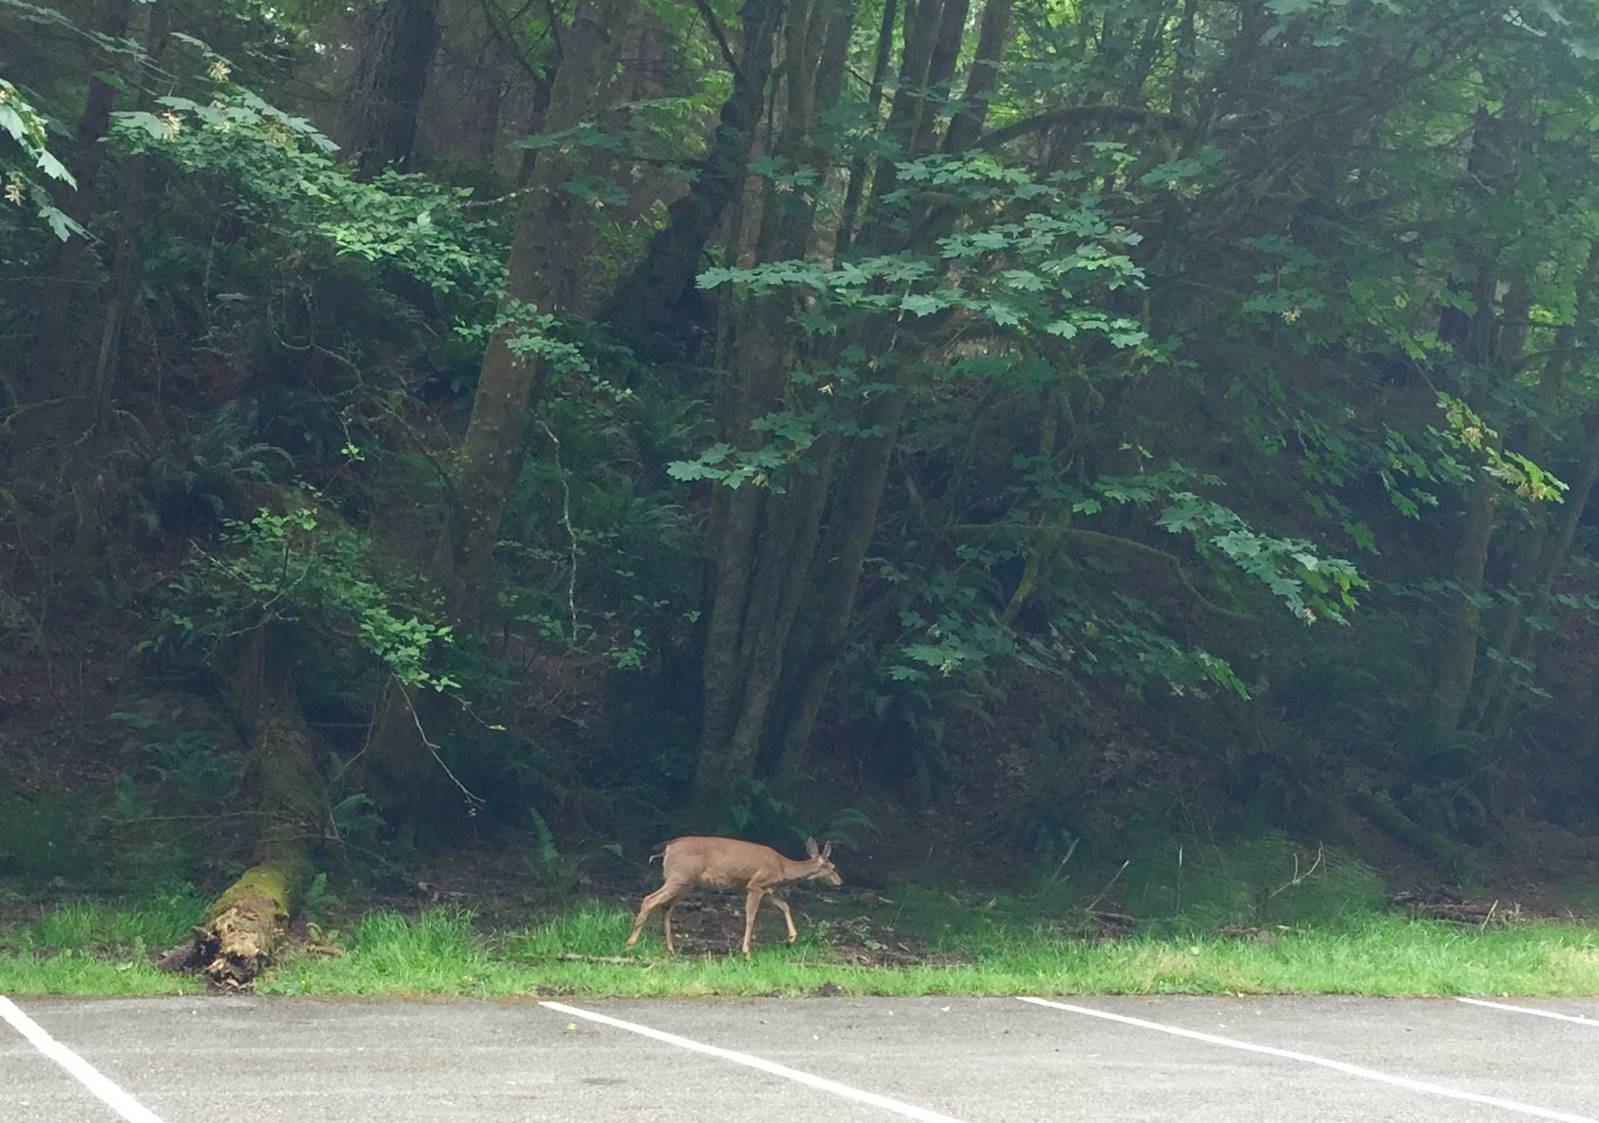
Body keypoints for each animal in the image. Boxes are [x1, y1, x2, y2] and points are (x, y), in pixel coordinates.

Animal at [625, 835, 842, 957]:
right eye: (832, 867)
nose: (839, 882)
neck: (783, 867)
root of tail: (668, 848)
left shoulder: (766, 889)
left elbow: (784, 906)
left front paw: (791, 938)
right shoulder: (756, 885)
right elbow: (751, 917)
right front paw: (746, 951)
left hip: (685, 881)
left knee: (666, 907)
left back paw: (671, 948)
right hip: (680, 876)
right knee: (649, 899)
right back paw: (631, 943)